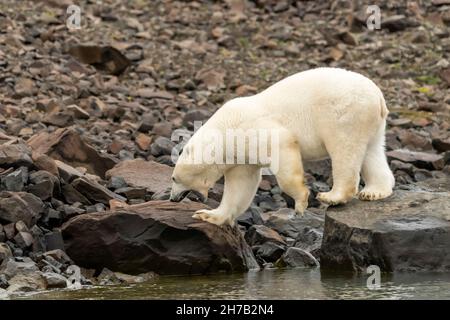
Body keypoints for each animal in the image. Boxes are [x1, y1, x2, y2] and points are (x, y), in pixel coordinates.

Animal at [171, 68, 396, 225]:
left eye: (174, 178)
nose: (172, 199)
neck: (225, 129)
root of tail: (378, 96)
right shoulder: (241, 156)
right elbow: (241, 186)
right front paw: (207, 214)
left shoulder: (253, 129)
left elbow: (283, 147)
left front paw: (301, 202)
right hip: (372, 123)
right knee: (372, 151)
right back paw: (374, 191)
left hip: (344, 114)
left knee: (344, 150)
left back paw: (332, 195)